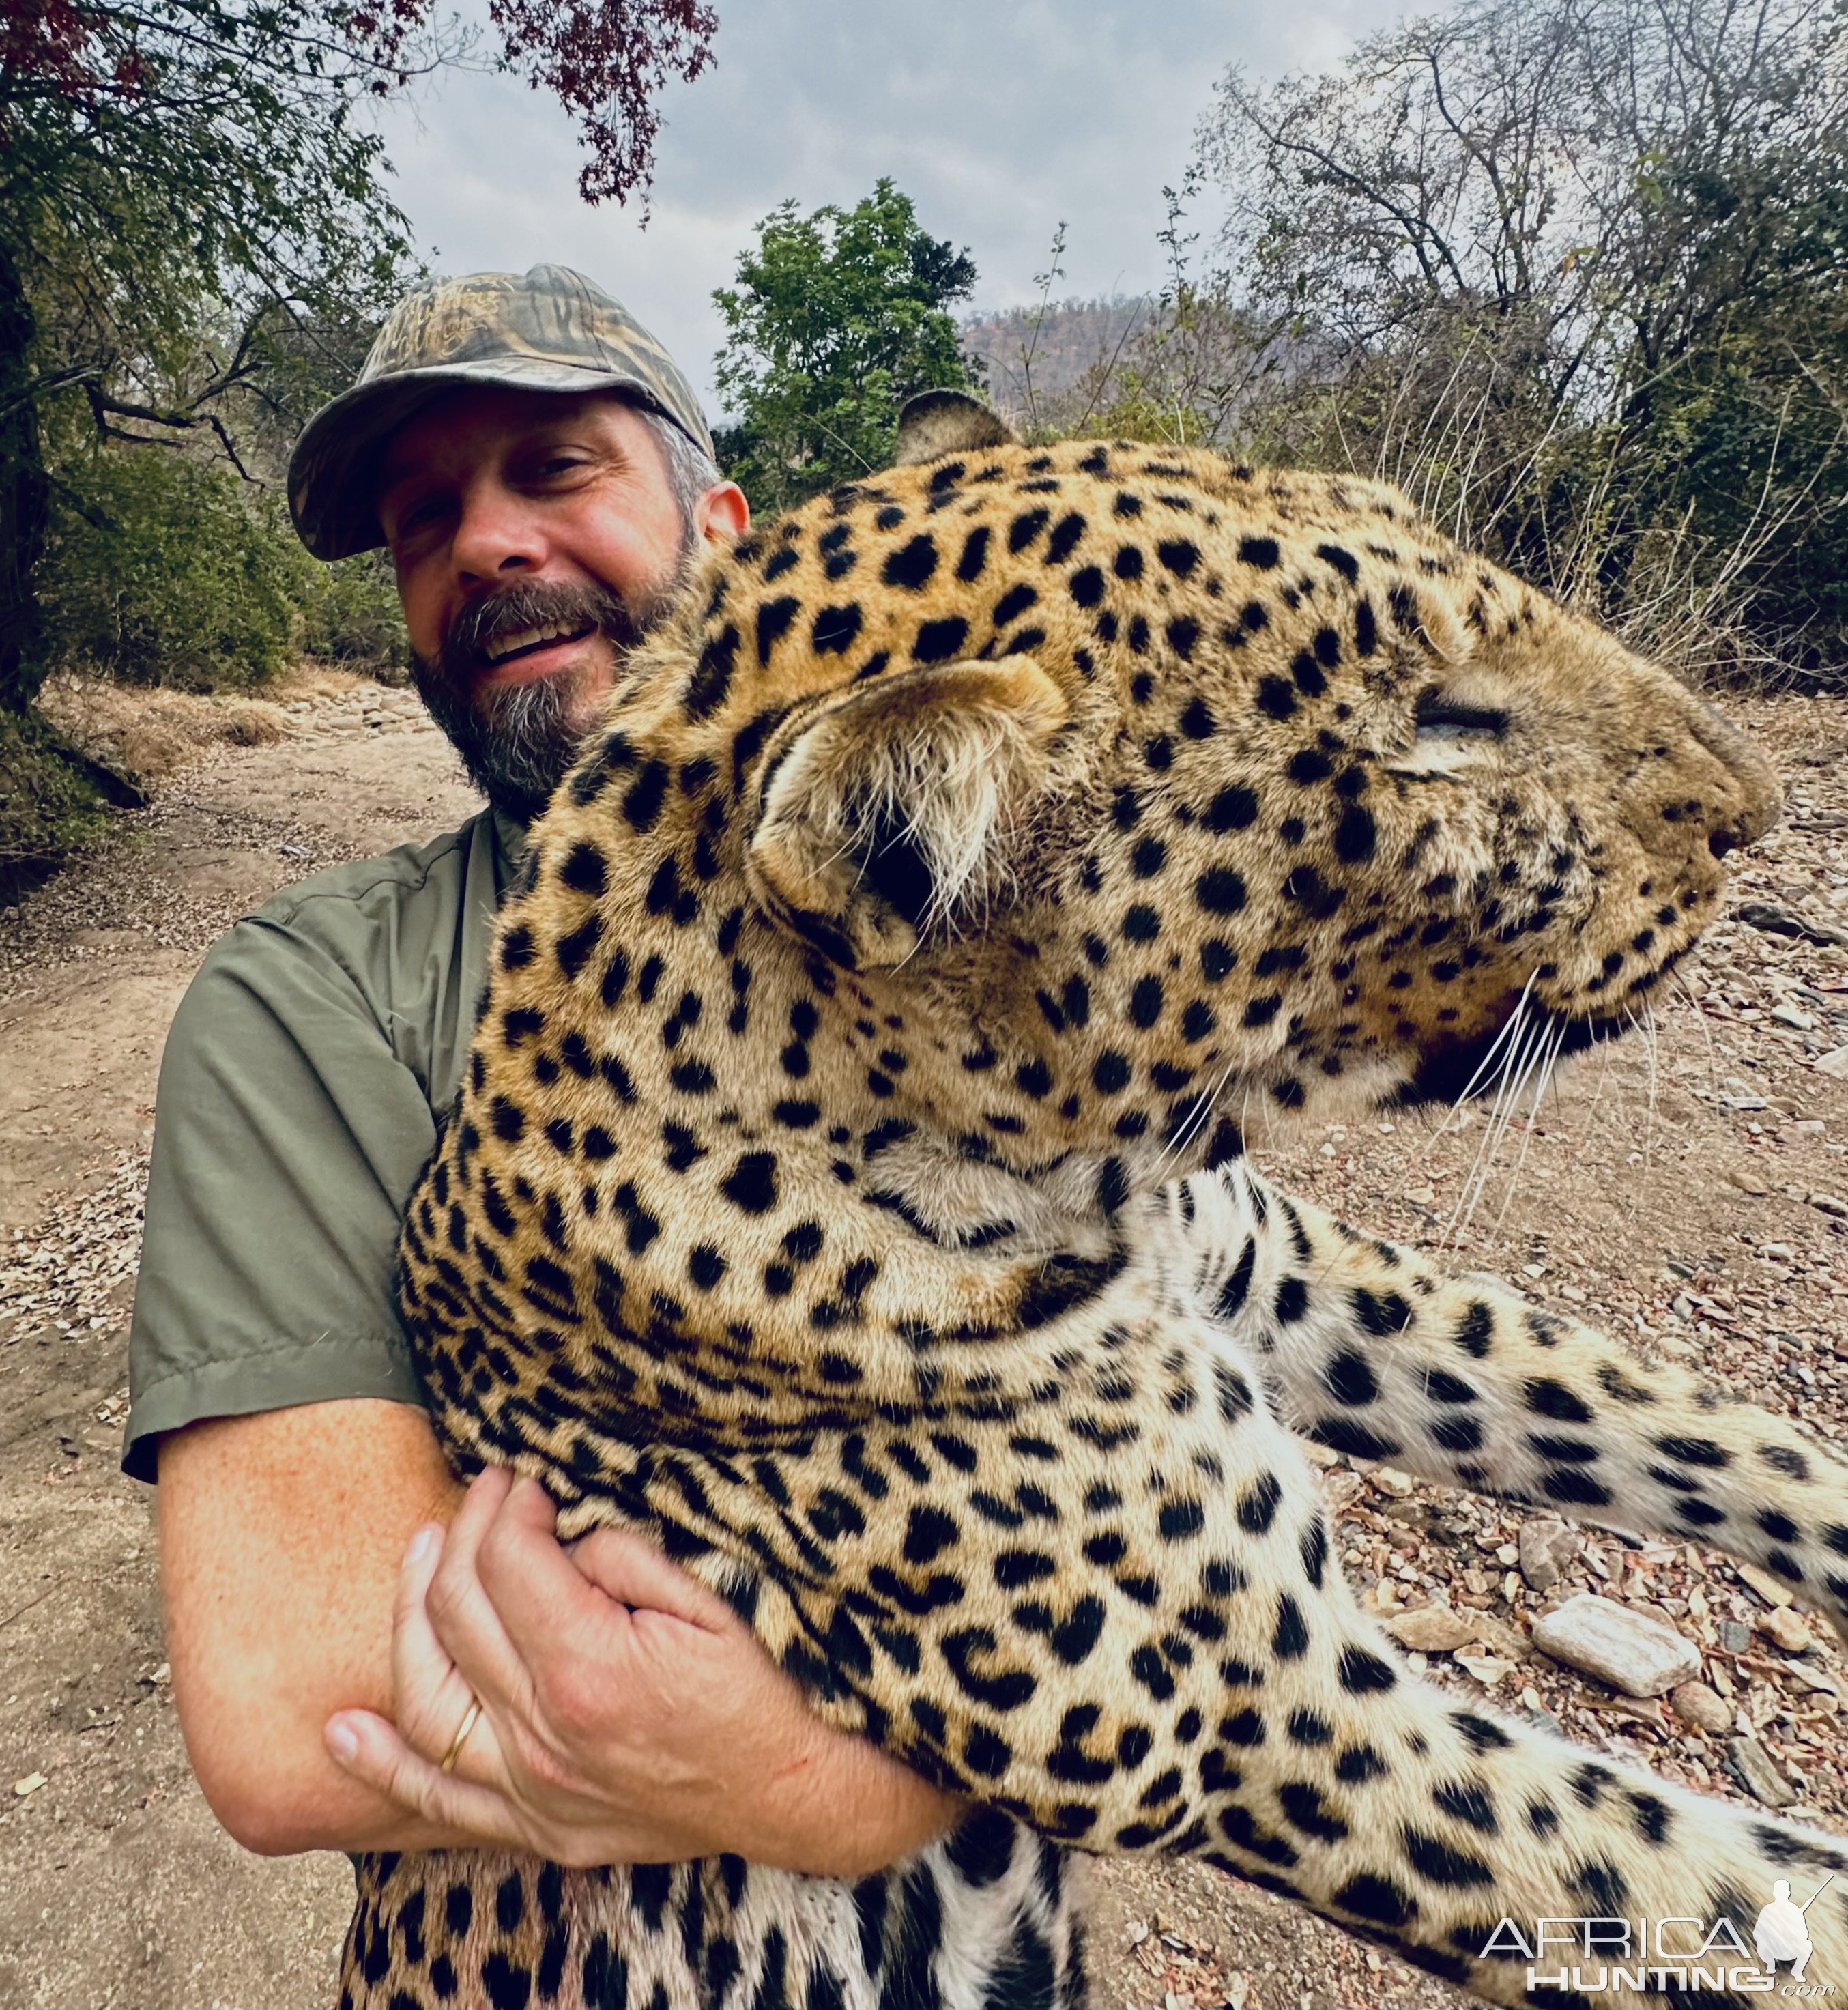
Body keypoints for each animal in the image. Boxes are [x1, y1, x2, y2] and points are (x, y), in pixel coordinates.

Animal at [343, 392, 1848, 2010]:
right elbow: (1686, 1881)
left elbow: (1630, 1407)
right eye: (1444, 719)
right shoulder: (1245, 1709)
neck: (1092, 1170)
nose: (1756, 815)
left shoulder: (1274, 1269)